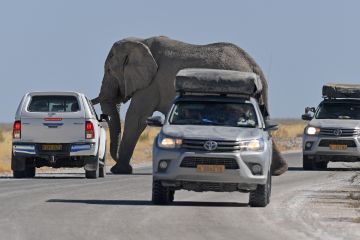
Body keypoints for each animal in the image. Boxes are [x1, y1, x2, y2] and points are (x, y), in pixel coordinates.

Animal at [92, 36, 286, 174]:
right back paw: (279, 171)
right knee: (265, 121)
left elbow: (136, 118)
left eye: (109, 70)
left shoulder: (151, 84)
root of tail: (253, 65)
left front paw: (119, 171)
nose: (111, 161)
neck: (140, 41)